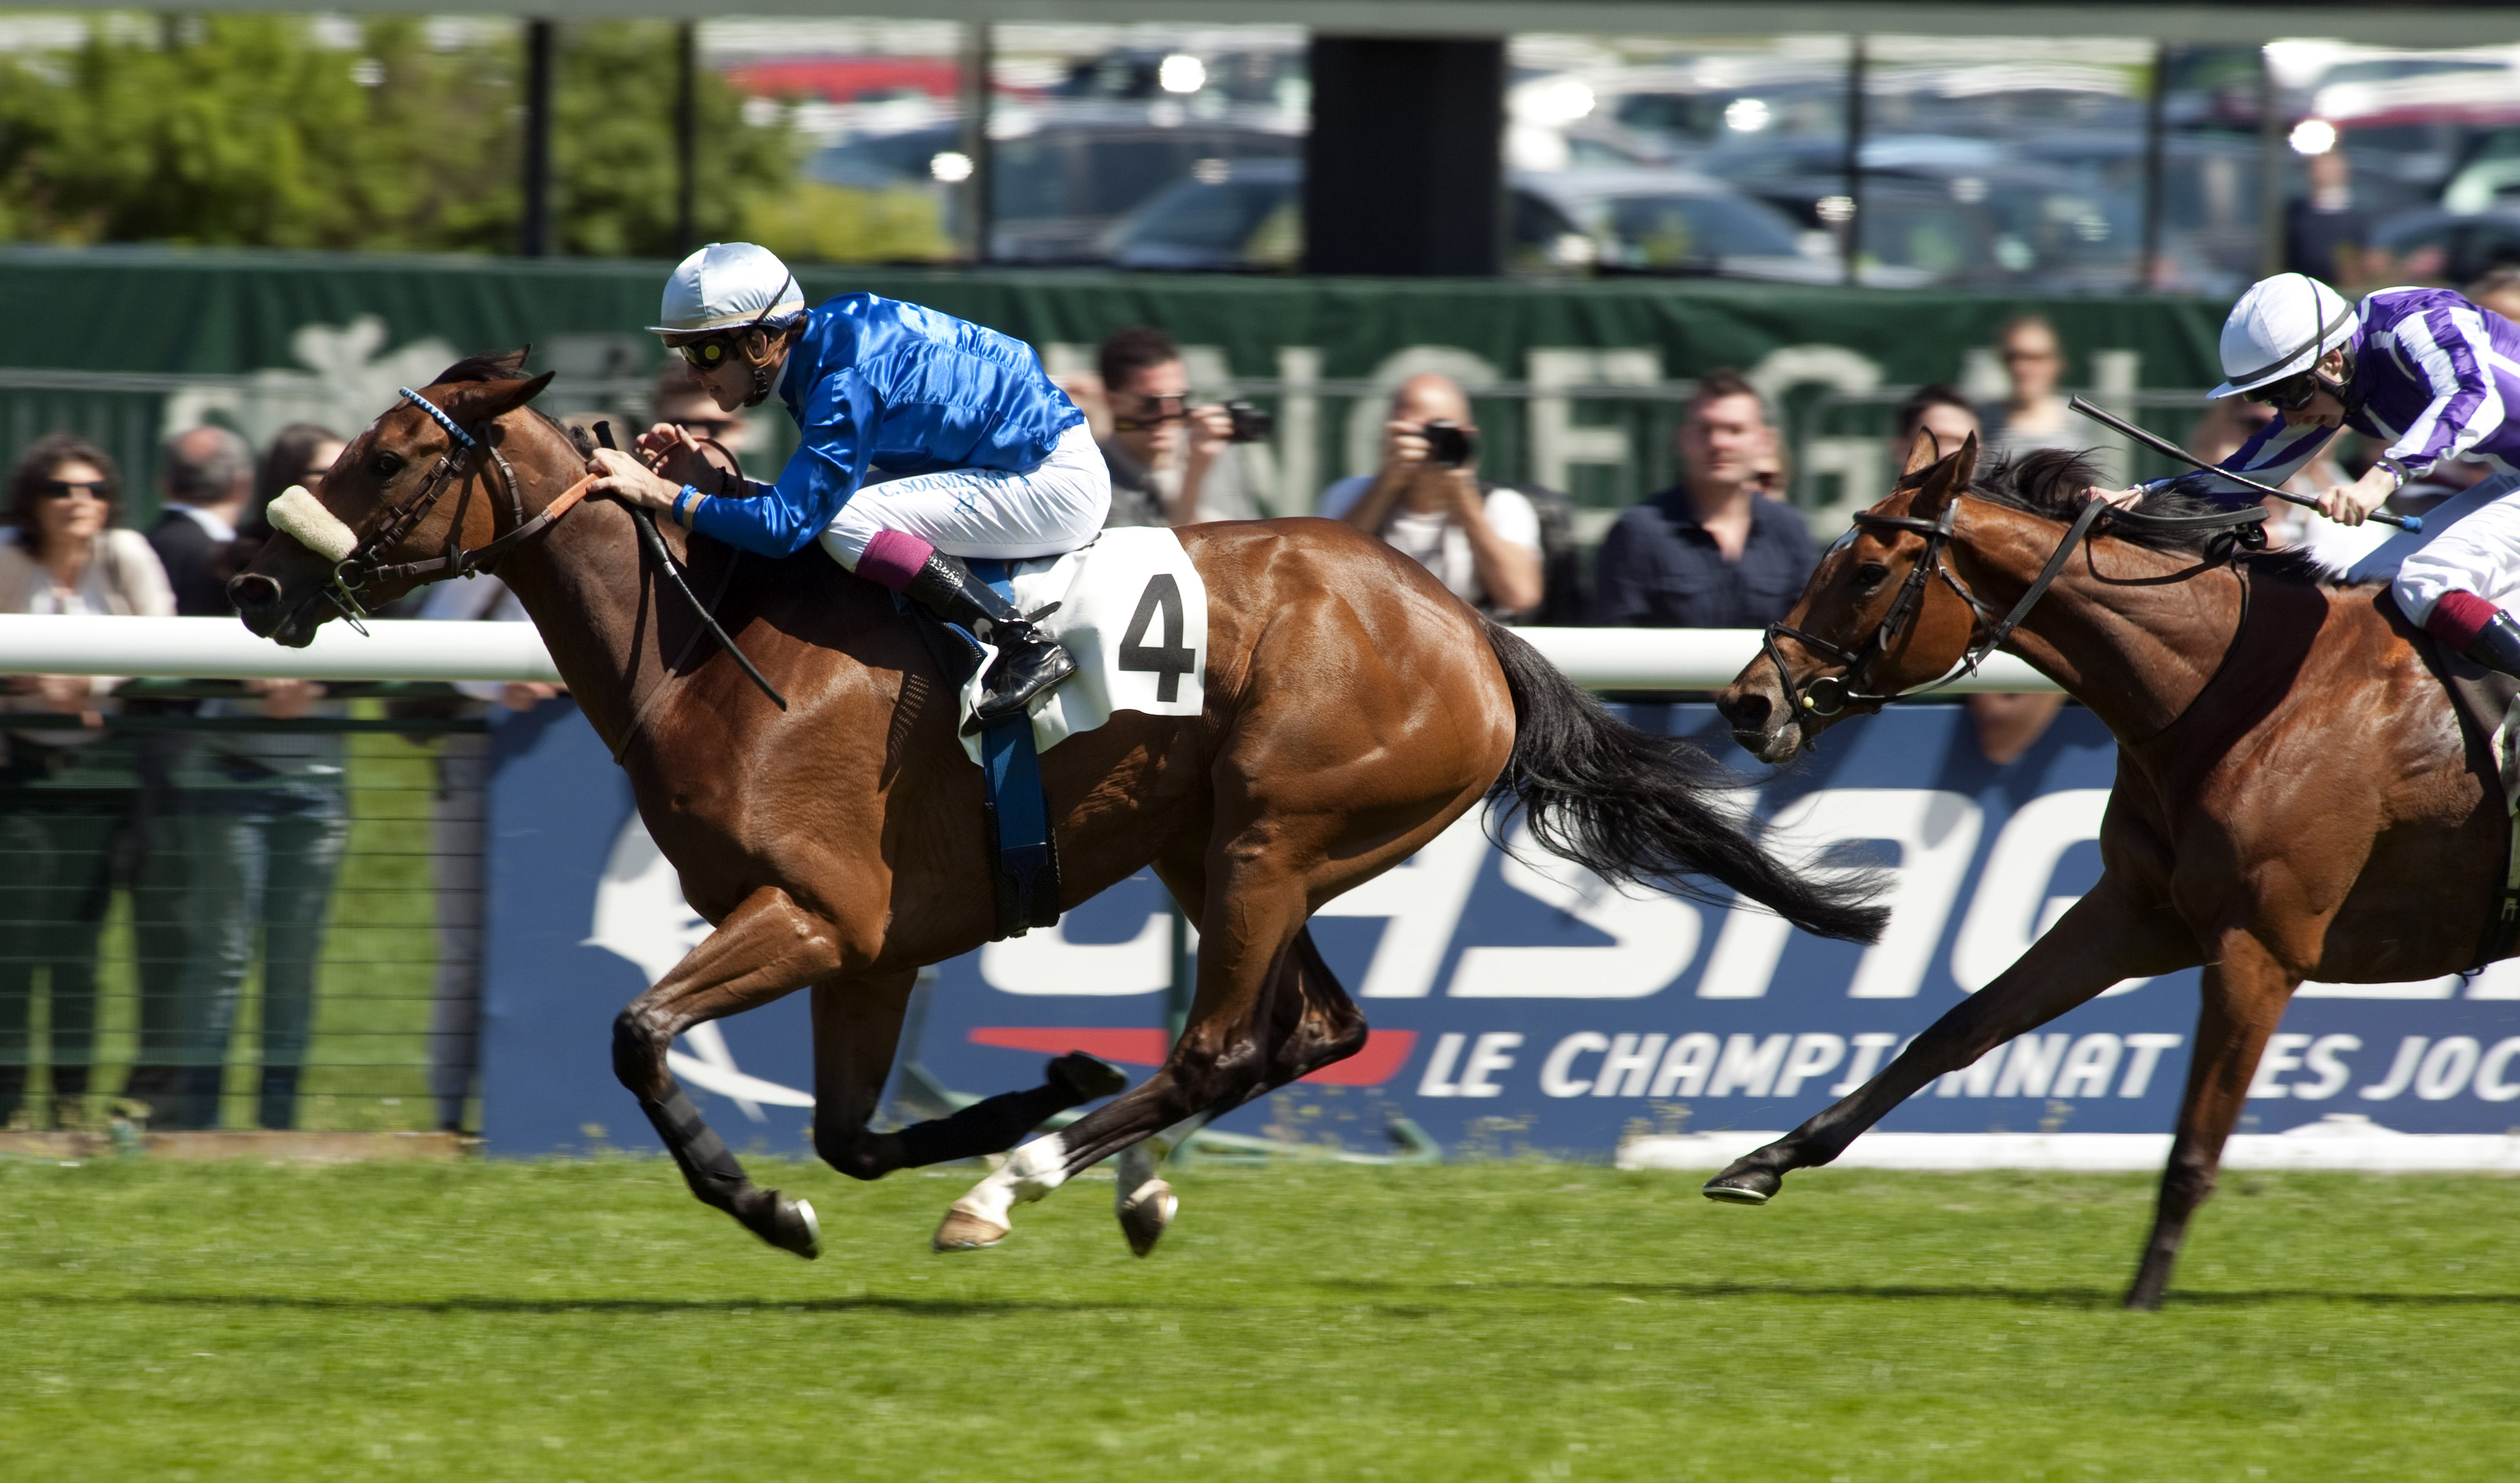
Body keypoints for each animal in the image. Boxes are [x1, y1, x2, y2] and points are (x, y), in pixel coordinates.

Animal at [240, 355, 1895, 1261]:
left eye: (393, 453)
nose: (255, 579)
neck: (711, 647)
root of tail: (1462, 619)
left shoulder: (816, 912)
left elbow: (642, 1035)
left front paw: (769, 1198)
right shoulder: (870, 946)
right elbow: (846, 1137)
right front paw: (1022, 1092)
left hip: (1269, 833)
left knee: (1227, 1040)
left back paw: (1017, 1189)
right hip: (1216, 847)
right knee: (1307, 1030)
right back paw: (1103, 1169)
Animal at [1703, 436, 2509, 1311]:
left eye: (1867, 573)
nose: (1747, 703)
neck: (2243, 693)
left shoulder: (2258, 949)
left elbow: (2195, 1144)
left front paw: (2146, 1294)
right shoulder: (2133, 915)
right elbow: (1956, 1029)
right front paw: (1765, 1162)